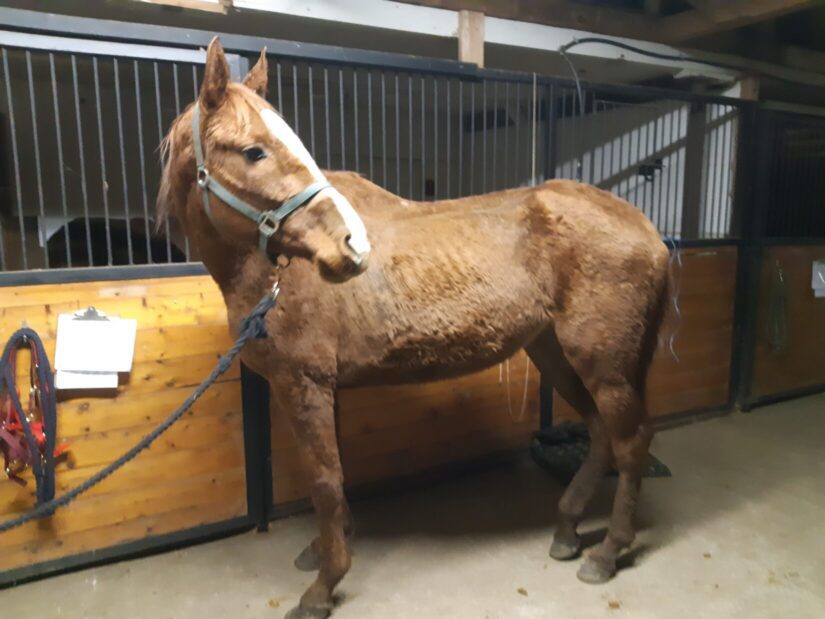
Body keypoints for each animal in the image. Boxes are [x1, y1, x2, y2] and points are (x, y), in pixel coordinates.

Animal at [159, 40, 668, 619]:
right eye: (253, 151)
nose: (352, 245)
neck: (271, 276)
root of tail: (644, 227)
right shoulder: (326, 387)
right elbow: (337, 471)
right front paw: (326, 547)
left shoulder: (303, 384)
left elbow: (324, 480)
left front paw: (323, 586)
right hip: (555, 353)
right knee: (602, 433)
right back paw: (566, 530)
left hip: (605, 365)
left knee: (630, 442)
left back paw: (606, 553)